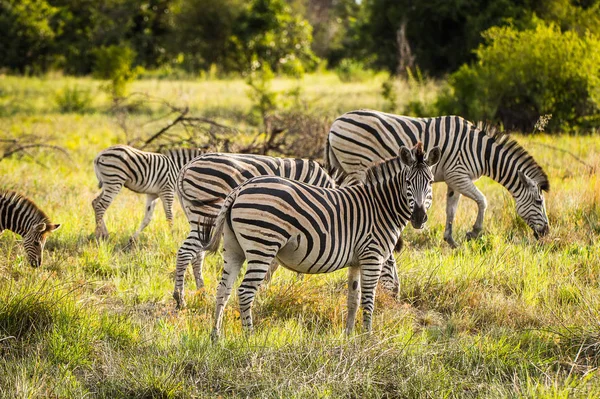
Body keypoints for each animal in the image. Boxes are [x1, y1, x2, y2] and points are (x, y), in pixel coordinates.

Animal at [173, 153, 338, 310]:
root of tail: (187, 166)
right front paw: (295, 286)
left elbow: (275, 263)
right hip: (208, 213)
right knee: (185, 252)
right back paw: (180, 299)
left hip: (200, 220)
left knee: (197, 255)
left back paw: (202, 294)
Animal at [197, 144, 440, 338]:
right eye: (408, 182)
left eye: (430, 182)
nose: (419, 218)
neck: (380, 206)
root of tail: (239, 189)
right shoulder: (372, 256)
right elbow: (368, 300)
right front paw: (368, 337)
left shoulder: (356, 260)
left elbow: (353, 299)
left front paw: (349, 336)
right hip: (262, 246)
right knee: (245, 292)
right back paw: (250, 337)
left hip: (233, 249)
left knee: (223, 290)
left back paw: (215, 336)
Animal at [326, 108, 552, 247]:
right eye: (539, 201)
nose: (546, 233)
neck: (482, 152)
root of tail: (335, 123)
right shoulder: (459, 175)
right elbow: (483, 201)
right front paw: (474, 232)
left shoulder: (454, 180)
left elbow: (451, 210)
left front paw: (450, 240)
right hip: (357, 165)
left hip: (343, 166)